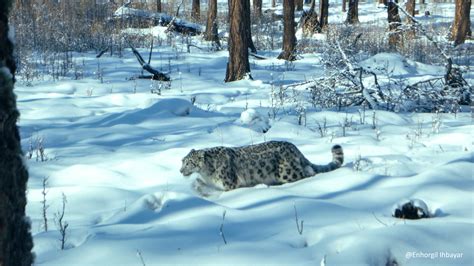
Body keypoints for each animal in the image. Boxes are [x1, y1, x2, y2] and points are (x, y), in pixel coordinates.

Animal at [181, 141, 344, 195]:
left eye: (189, 162)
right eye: (182, 161)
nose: (181, 170)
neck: (207, 173)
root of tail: (294, 147)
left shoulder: (229, 184)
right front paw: (196, 186)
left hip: (287, 173)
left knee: (307, 172)